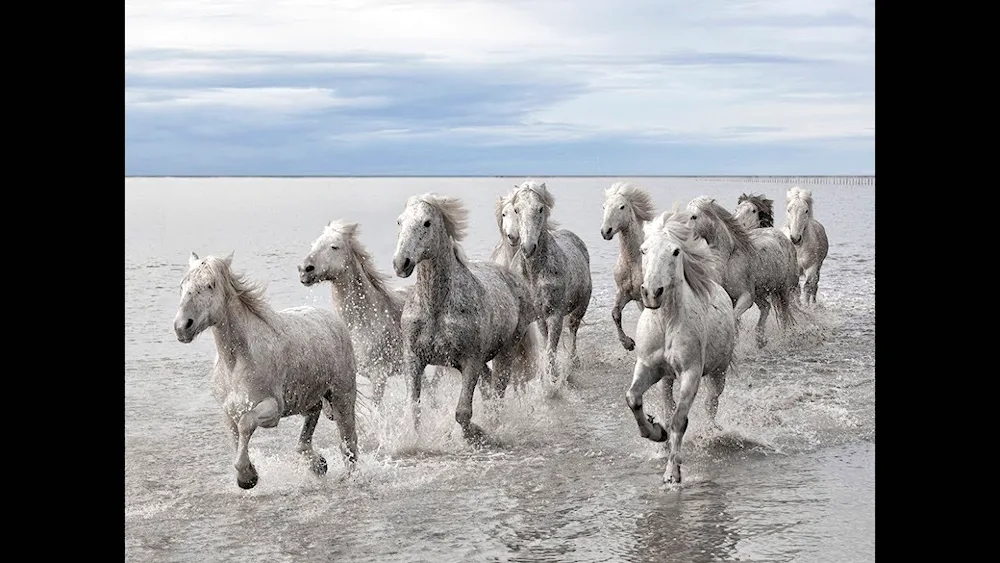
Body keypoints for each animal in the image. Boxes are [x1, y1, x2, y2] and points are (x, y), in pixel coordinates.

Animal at [173, 252, 360, 490]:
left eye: (210, 284)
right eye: (183, 285)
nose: (182, 327)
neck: (236, 362)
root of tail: (333, 319)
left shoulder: (273, 408)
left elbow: (246, 424)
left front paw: (247, 477)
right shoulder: (228, 412)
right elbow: (236, 437)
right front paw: (247, 473)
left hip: (342, 397)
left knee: (349, 442)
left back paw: (348, 476)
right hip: (307, 398)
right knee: (312, 421)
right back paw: (318, 464)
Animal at [496, 181, 588, 388]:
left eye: (540, 209)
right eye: (516, 209)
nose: (528, 247)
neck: (535, 274)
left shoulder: (556, 315)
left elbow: (551, 347)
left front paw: (552, 381)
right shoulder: (538, 316)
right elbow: (546, 344)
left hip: (579, 308)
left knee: (573, 331)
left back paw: (574, 361)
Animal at [628, 210, 740, 484]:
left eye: (676, 251)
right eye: (644, 250)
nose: (652, 293)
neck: (667, 323)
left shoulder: (691, 373)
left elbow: (680, 420)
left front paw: (672, 474)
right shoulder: (647, 366)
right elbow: (634, 398)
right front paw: (656, 432)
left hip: (718, 372)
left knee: (711, 404)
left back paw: (709, 435)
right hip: (666, 378)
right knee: (667, 404)